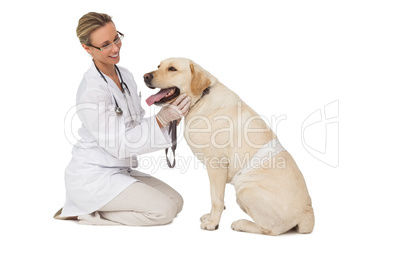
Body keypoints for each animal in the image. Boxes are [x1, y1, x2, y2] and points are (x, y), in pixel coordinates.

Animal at [144, 58, 314, 234]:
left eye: (172, 69)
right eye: (158, 66)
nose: (145, 76)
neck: (201, 98)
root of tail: (307, 213)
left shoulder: (216, 166)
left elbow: (216, 200)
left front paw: (213, 223)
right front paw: (210, 217)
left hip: (244, 190)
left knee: (271, 230)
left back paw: (241, 224)